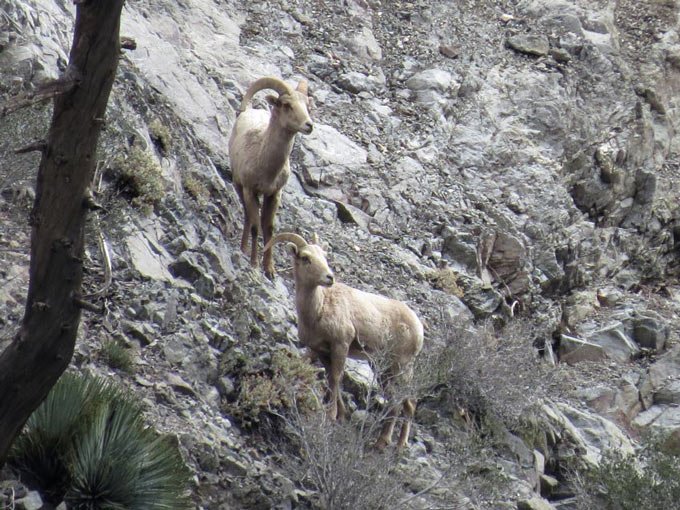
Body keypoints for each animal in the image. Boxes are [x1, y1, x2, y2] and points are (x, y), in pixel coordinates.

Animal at [228, 76, 314, 278]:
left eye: (307, 106)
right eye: (287, 105)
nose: (309, 125)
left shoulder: (274, 194)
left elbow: (269, 228)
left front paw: (270, 270)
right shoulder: (250, 191)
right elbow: (255, 226)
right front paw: (254, 264)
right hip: (239, 187)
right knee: (248, 217)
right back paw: (243, 249)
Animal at [264, 232, 425, 450]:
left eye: (324, 257)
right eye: (305, 258)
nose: (329, 277)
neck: (319, 309)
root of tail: (418, 328)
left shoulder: (341, 345)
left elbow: (336, 377)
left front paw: (332, 415)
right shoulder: (322, 351)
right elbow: (332, 379)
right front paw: (340, 415)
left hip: (401, 366)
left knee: (402, 401)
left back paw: (389, 444)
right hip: (384, 369)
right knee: (402, 401)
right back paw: (390, 443)